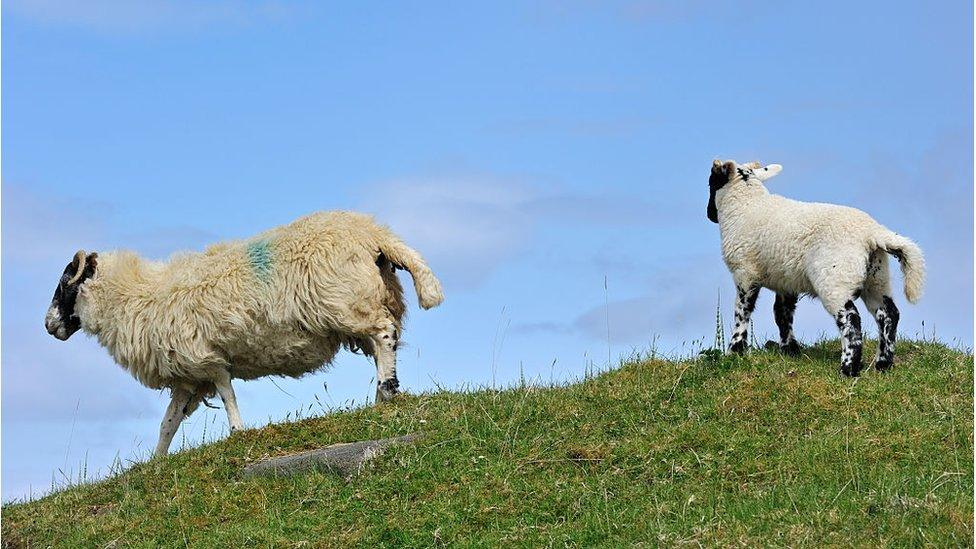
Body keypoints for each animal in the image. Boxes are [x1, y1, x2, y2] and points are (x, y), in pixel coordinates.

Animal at [43, 210, 444, 454]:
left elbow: (228, 395)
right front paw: (157, 460)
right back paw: (380, 395)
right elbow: (168, 422)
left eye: (64, 283)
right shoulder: (188, 375)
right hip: (371, 300)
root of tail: (373, 233)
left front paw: (237, 432)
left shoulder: (207, 358)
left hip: (350, 304)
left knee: (385, 336)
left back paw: (386, 391)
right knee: (382, 345)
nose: (48, 326)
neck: (135, 294)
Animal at [708, 156, 924, 374]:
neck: (745, 206)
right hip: (876, 278)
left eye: (711, 182)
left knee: (851, 318)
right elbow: (782, 313)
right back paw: (882, 364)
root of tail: (873, 233)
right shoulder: (786, 281)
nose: (710, 215)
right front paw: (789, 349)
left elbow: (742, 311)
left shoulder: (745, 272)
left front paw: (735, 350)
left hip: (835, 278)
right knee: (888, 314)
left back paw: (848, 368)